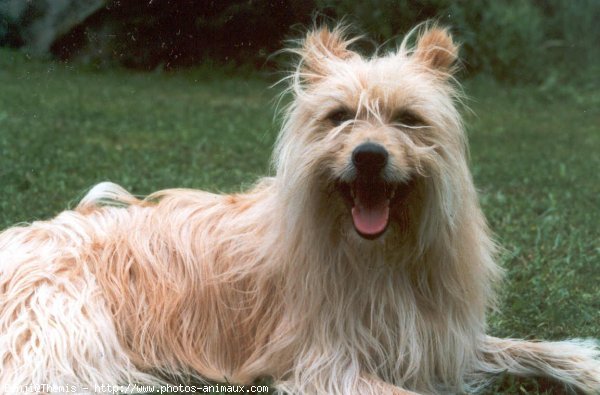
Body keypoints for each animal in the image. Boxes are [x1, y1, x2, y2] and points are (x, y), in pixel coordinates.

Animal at [1, 25, 600, 395]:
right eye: (338, 116)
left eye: (408, 119)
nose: (368, 155)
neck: (380, 255)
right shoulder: (327, 364)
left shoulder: (440, 343)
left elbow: (531, 348)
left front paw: (582, 365)